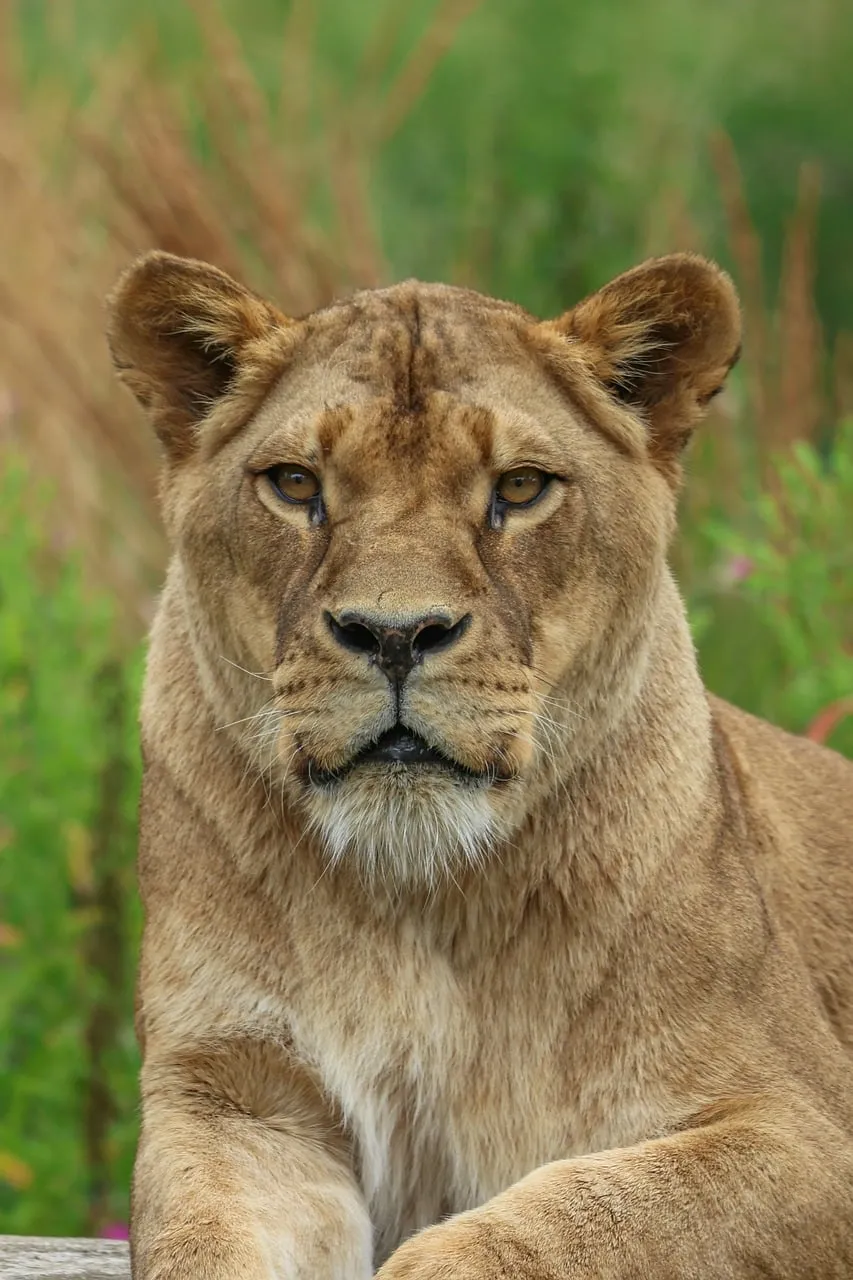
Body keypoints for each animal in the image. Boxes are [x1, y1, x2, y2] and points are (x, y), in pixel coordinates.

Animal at [107, 249, 853, 1280]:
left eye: (523, 487)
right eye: (294, 484)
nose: (394, 632)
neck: (426, 899)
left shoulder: (799, 1124)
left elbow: (584, 1213)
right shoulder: (234, 1096)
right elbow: (200, 1237)